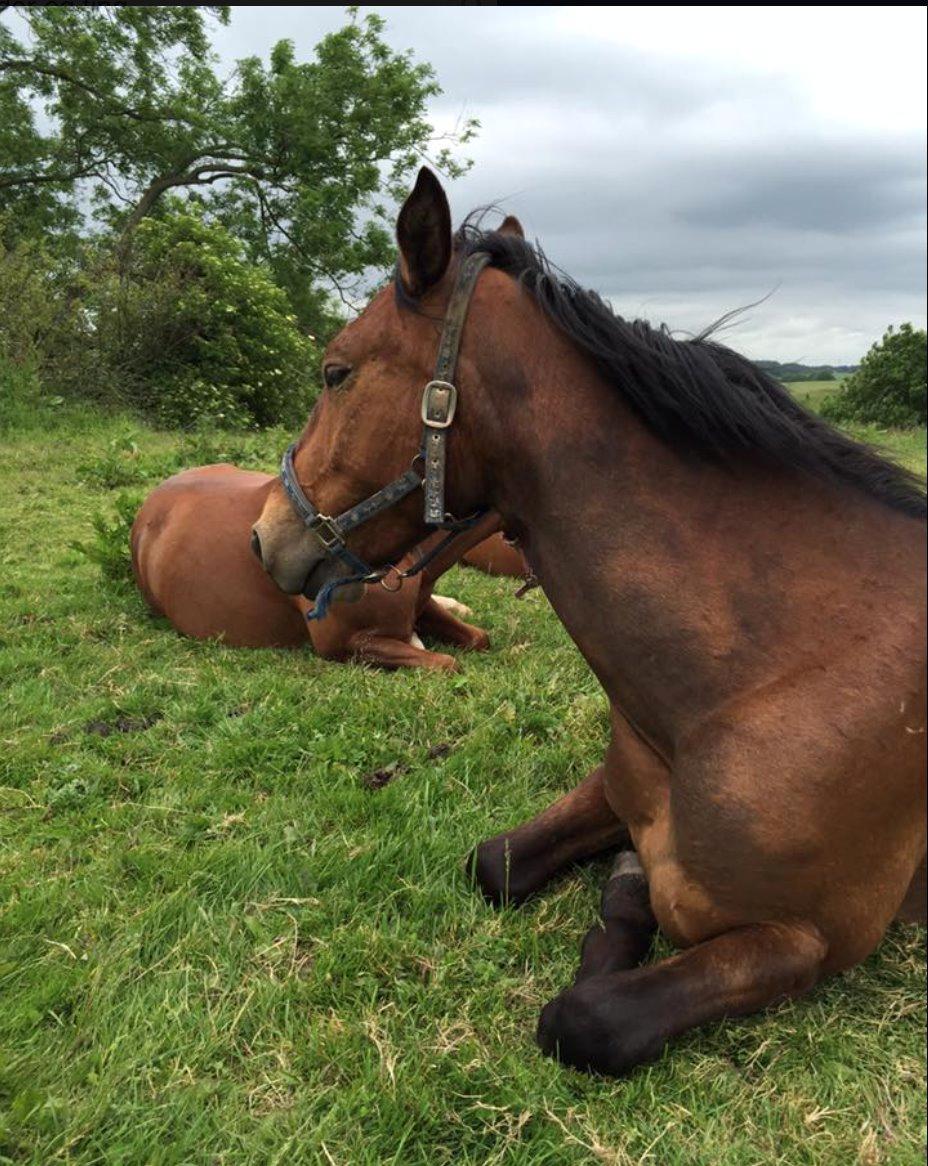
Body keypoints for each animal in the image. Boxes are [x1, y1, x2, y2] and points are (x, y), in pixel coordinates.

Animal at [250, 169, 923, 1077]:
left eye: (335, 371)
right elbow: (494, 864)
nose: (263, 536)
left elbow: (585, 1020)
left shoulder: (812, 941)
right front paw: (623, 886)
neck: (761, 677)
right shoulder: (611, 789)